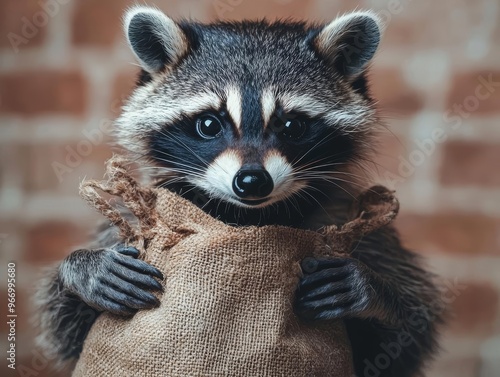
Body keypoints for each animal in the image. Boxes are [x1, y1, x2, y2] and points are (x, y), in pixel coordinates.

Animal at [36, 6, 442, 376]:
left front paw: (373, 289)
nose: (251, 181)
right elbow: (66, 328)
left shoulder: (349, 218)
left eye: (292, 125)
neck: (248, 216)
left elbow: (410, 332)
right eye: (208, 124)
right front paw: (82, 268)